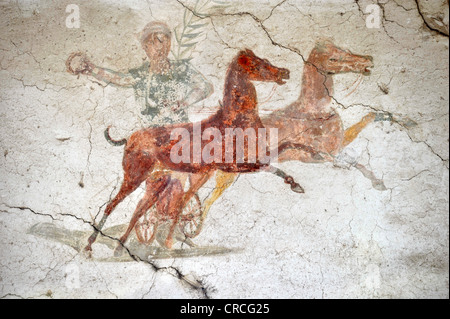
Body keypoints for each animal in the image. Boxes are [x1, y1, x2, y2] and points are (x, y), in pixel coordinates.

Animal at [85, 49, 312, 255]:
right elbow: (271, 166)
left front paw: (313, 155)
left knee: (141, 208)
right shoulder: (232, 166)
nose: (284, 72)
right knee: (113, 205)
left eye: (264, 59)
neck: (233, 121)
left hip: (158, 181)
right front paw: (297, 185)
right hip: (134, 177)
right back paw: (91, 245)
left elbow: (287, 146)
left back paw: (122, 247)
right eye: (256, 65)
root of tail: (130, 138)